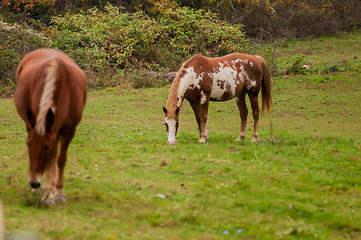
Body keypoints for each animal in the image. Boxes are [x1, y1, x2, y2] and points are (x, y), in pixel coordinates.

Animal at [14, 48, 88, 204]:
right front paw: (48, 194)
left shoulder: (68, 131)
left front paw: (58, 192)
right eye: (28, 145)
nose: (34, 182)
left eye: (46, 147)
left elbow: (60, 160)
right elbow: (51, 161)